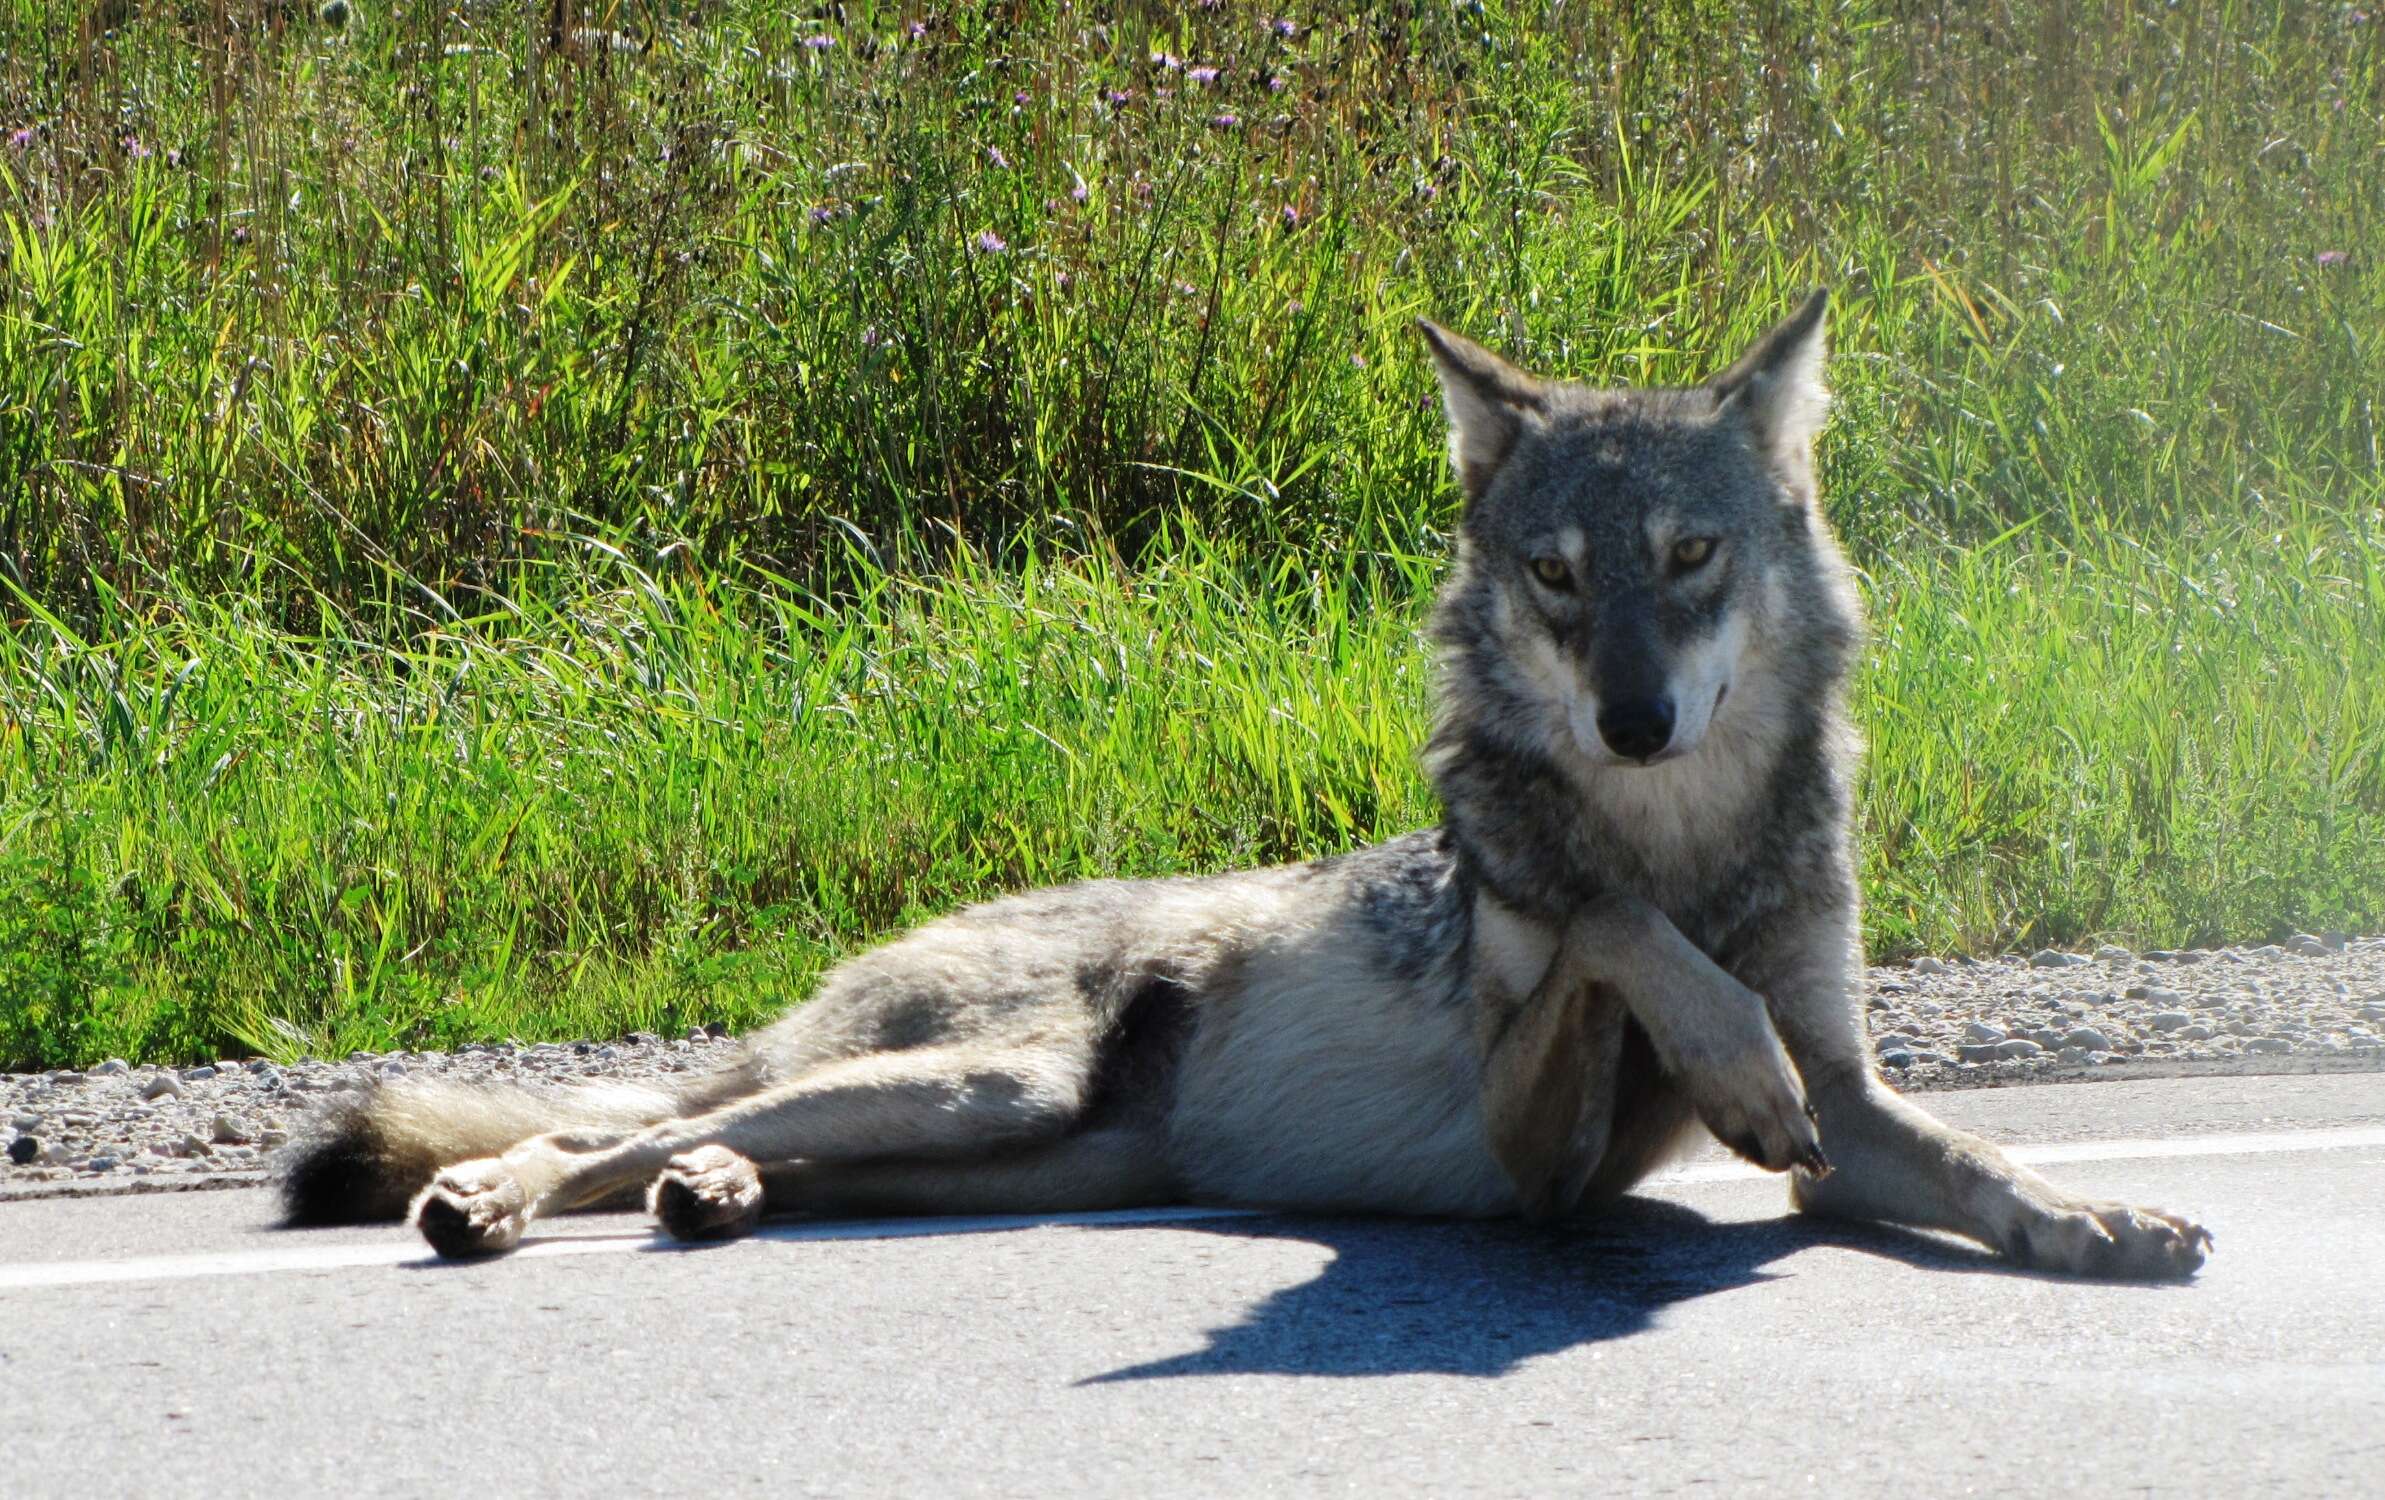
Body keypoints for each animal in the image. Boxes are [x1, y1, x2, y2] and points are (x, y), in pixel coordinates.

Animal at [279, 292, 2213, 1278]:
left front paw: (2097, 1219)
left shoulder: (1851, 1111)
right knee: (603, 1134)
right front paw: (1686, 999)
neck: (1692, 841)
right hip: (984, 1088)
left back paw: (715, 1201)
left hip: (1013, 1148)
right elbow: (1606, 923)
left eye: (1688, 557)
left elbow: (1975, 1160)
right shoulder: (1540, 1158)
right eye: (1557, 579)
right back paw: (499, 1201)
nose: (1634, 723)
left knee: (708, 1153)